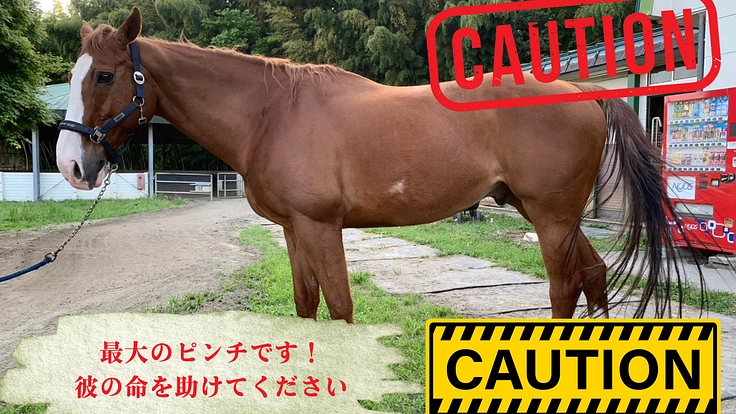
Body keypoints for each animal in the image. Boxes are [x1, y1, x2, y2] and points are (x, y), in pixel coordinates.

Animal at [55, 7, 699, 323]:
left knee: (565, 288)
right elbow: (307, 305)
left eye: (106, 75)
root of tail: (582, 91)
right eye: (74, 73)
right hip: (546, 214)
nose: (71, 164)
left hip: (552, 217)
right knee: (592, 276)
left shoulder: (322, 227)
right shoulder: (295, 231)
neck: (271, 113)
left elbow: (340, 307)